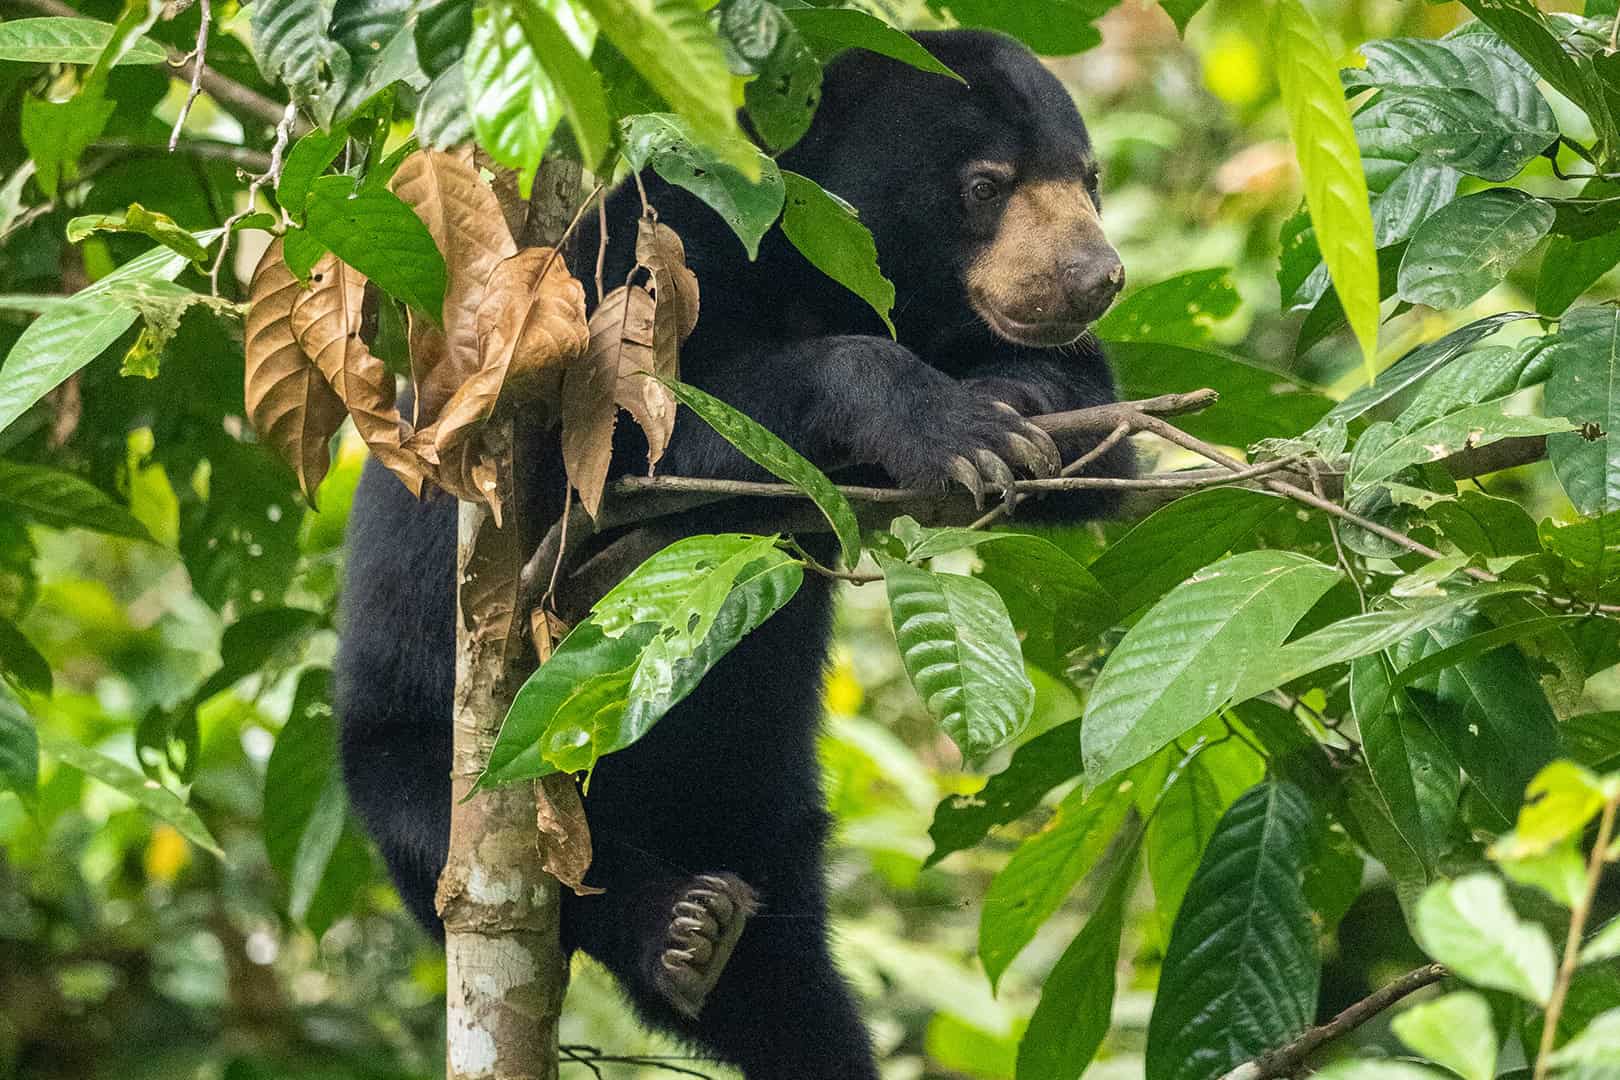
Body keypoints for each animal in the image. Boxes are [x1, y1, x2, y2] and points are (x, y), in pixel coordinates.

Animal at [336, 28, 1131, 1080]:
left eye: (1088, 176)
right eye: (985, 184)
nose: (1095, 276)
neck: (817, 281)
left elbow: (1105, 432)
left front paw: (1018, 412)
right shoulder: (648, 256)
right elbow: (622, 432)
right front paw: (951, 426)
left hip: (768, 810)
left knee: (787, 984)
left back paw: (732, 967)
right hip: (426, 754)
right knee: (491, 845)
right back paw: (678, 929)